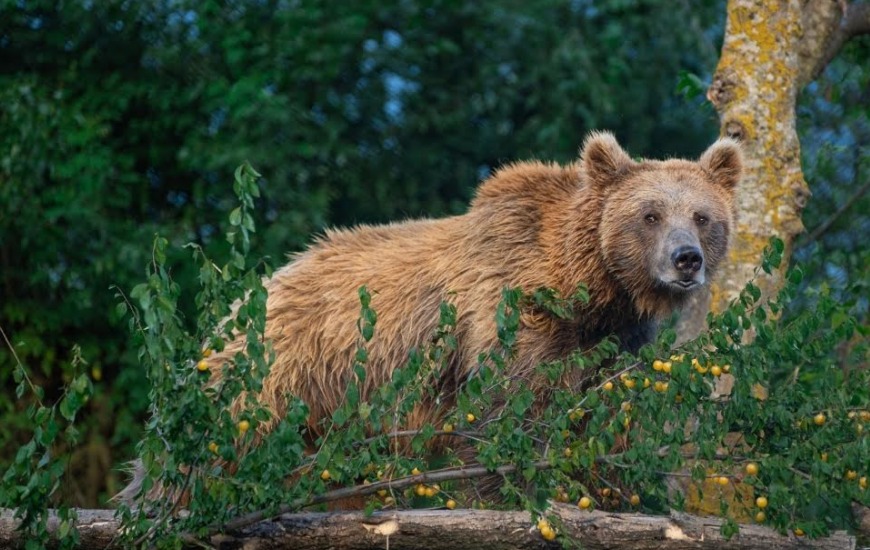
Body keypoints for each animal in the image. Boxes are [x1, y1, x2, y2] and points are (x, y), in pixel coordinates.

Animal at [117, 131, 742, 504]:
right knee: (208, 442)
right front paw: (506, 490)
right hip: (277, 369)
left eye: (702, 215)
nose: (686, 259)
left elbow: (609, 418)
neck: (588, 288)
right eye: (650, 214)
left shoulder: (614, 343)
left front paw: (626, 488)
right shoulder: (508, 317)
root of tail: (260, 289)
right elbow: (503, 413)